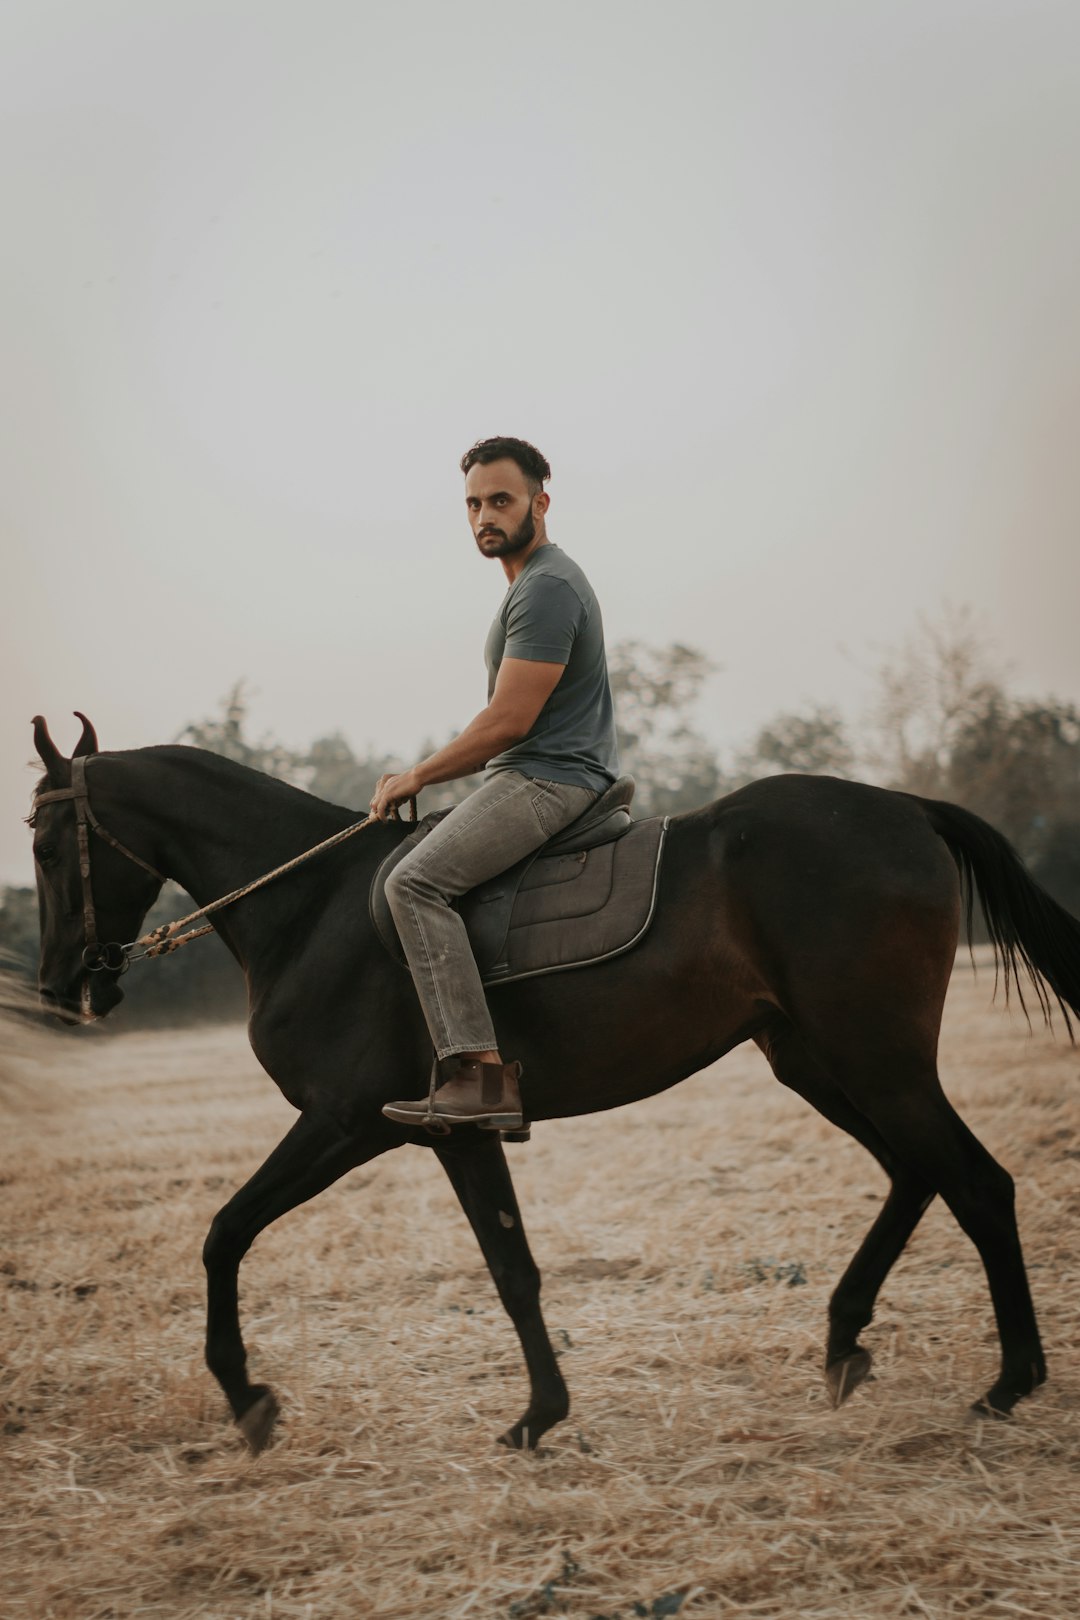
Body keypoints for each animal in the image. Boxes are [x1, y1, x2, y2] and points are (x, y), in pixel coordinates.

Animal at [25, 716, 1080, 1451]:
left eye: (41, 845)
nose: (60, 986)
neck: (309, 907)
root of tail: (907, 806)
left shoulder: (345, 1121)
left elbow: (224, 1233)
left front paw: (247, 1399)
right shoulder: (458, 1130)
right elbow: (513, 1268)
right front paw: (542, 1413)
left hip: (875, 1060)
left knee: (977, 1182)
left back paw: (1008, 1382)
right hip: (816, 1061)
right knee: (917, 1174)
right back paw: (845, 1340)